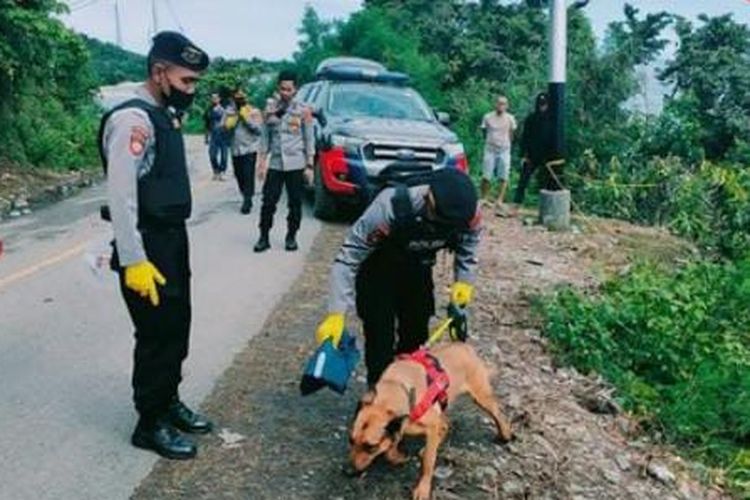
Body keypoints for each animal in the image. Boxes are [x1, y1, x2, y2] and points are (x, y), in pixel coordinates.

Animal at [350, 344, 516, 500]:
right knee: (445, 425)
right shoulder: (404, 425)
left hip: (482, 397)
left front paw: (423, 488)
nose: (348, 472)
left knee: (498, 414)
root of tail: (465, 346)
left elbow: (428, 462)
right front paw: (396, 456)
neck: (397, 387)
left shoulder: (430, 424)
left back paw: (506, 434)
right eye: (351, 441)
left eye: (370, 447)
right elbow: (392, 446)